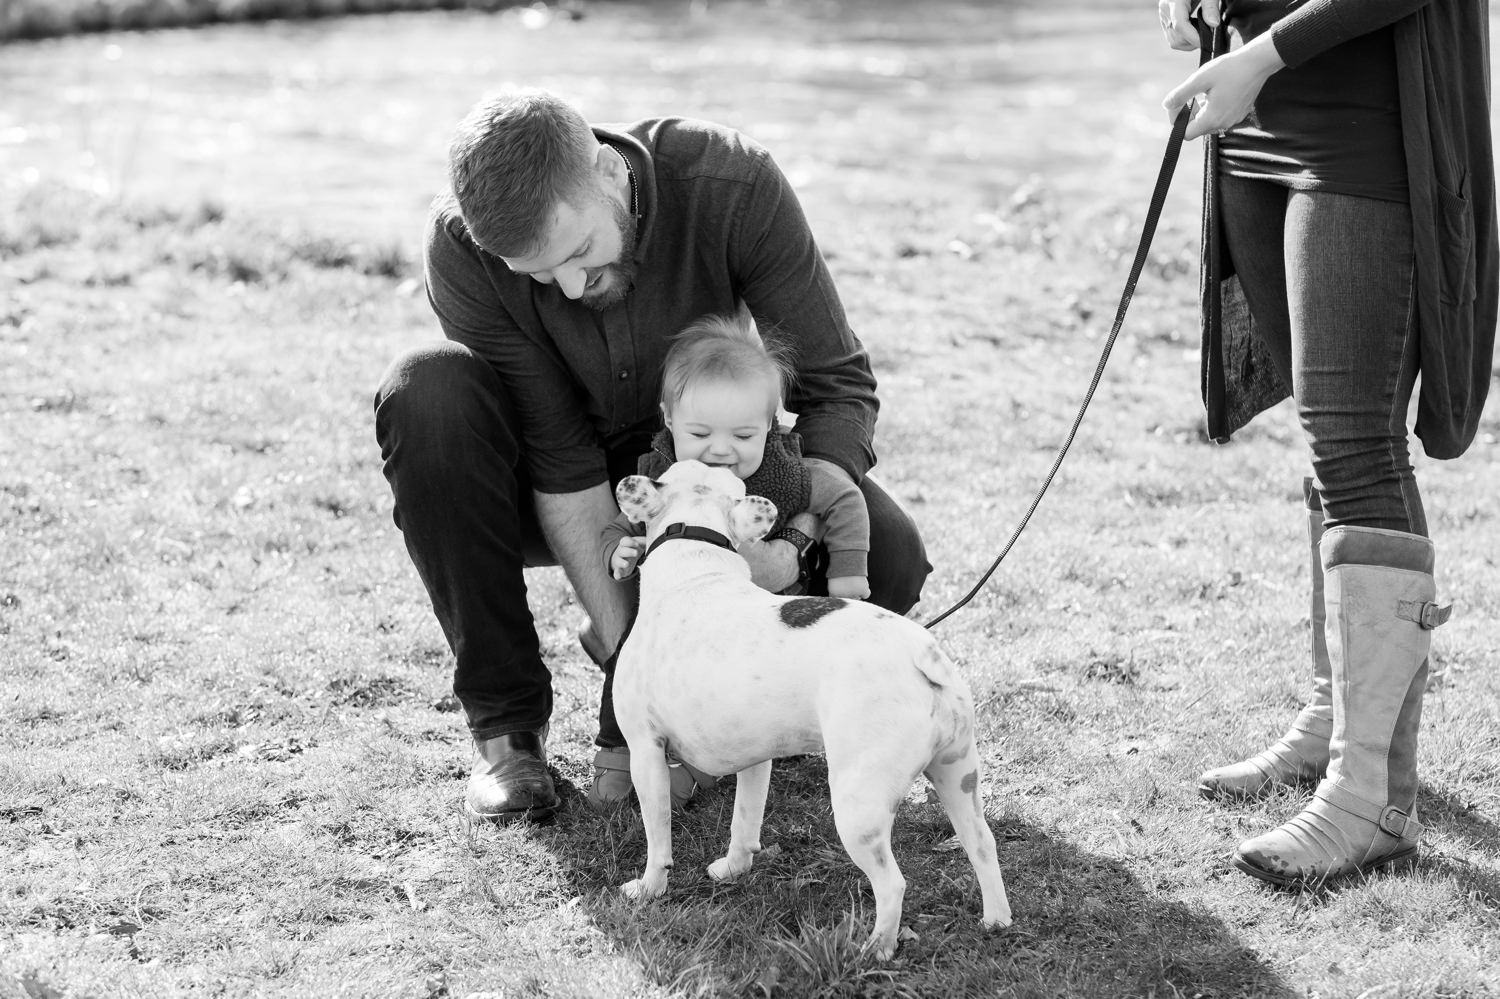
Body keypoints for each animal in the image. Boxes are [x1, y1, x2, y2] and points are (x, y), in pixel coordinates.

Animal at [609, 459, 1008, 960]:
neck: (697, 552)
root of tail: (920, 651)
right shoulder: (755, 758)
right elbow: (745, 820)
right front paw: (734, 869)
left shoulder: (645, 752)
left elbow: (657, 834)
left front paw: (648, 889)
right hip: (958, 777)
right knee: (982, 844)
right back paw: (996, 920)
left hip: (858, 806)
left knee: (892, 884)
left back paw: (876, 947)